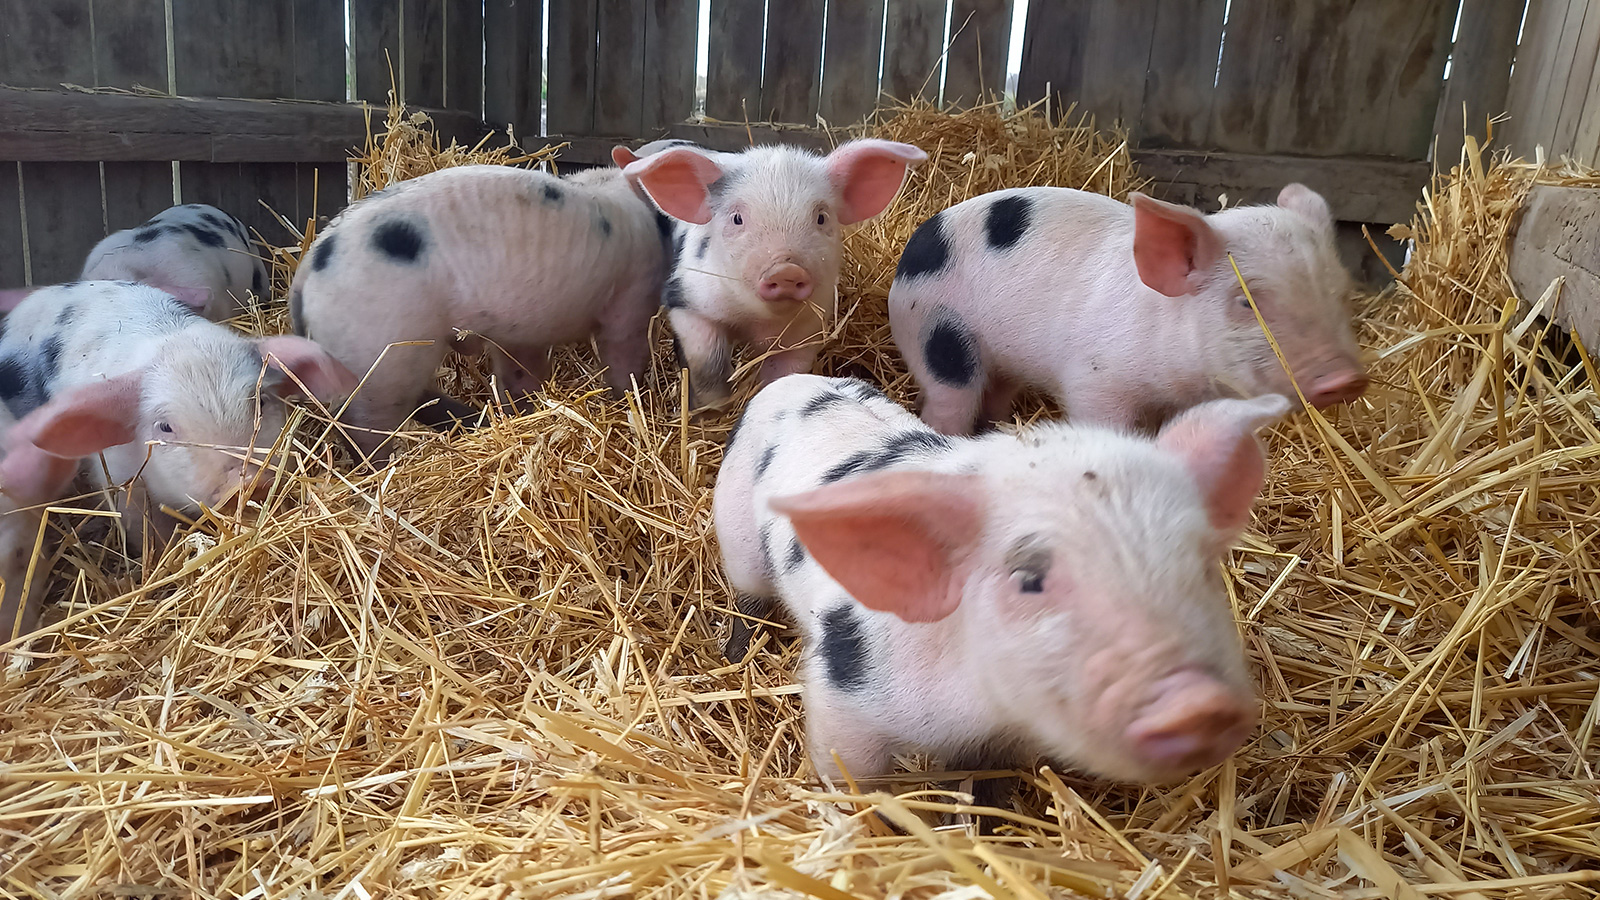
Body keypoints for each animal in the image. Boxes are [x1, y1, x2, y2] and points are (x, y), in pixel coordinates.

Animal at [290, 163, 672, 459]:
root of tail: (307, 269)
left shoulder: (520, 335)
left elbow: (521, 376)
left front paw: (523, 413)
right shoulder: (632, 299)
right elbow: (624, 359)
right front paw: (629, 403)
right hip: (382, 355)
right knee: (363, 426)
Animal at [617, 139, 927, 409]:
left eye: (821, 217)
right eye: (737, 218)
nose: (786, 270)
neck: (757, 323)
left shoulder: (806, 331)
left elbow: (783, 374)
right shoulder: (688, 301)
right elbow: (708, 364)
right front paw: (710, 411)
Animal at [714, 374, 1289, 788]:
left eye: (1203, 565)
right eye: (1028, 579)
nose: (1201, 704)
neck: (979, 711)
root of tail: (789, 380)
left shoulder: (1001, 744)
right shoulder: (842, 697)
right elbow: (857, 782)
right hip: (736, 532)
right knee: (747, 596)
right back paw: (735, 653)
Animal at [886, 185, 1367, 435]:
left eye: (1341, 292)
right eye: (1246, 300)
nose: (1347, 378)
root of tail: (913, 249)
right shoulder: (1094, 381)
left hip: (1002, 361)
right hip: (937, 336)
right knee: (947, 400)